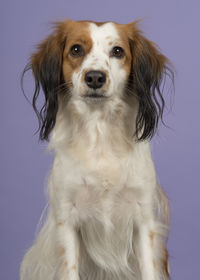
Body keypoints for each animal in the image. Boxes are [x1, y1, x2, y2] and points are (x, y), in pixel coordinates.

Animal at [20, 19, 173, 280]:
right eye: (76, 50)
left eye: (118, 51)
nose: (94, 77)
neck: (100, 134)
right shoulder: (67, 220)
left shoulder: (143, 218)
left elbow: (148, 269)